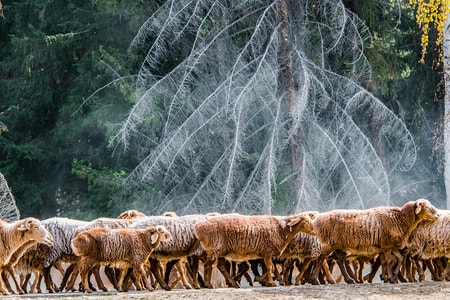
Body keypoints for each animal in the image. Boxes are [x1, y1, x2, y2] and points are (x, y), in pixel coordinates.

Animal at [310, 198, 440, 284]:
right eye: (426, 207)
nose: (438, 215)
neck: (400, 219)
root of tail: (318, 220)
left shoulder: (389, 246)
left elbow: (397, 259)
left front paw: (391, 277)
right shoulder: (387, 246)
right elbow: (388, 261)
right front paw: (390, 278)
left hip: (340, 246)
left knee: (340, 261)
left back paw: (349, 280)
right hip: (329, 243)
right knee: (321, 259)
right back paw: (315, 280)